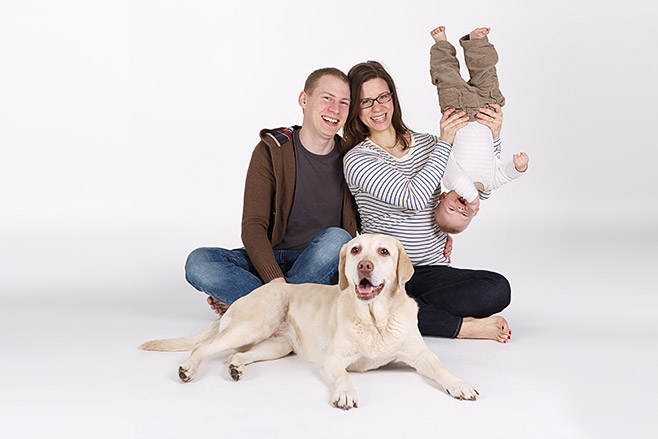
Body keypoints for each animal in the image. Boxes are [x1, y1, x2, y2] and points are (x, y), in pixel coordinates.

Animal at [140, 234, 476, 410]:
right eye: (356, 250)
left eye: (383, 252)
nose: (364, 266)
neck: (375, 319)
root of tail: (241, 299)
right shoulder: (333, 358)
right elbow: (344, 376)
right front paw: (346, 393)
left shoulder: (420, 354)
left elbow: (440, 367)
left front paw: (459, 384)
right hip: (257, 322)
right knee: (204, 348)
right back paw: (188, 368)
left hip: (277, 344)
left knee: (236, 354)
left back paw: (236, 368)